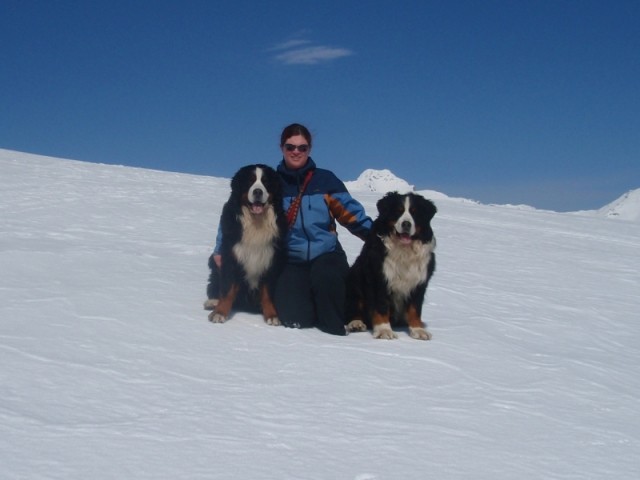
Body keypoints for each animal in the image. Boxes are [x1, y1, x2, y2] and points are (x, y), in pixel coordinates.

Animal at [209, 165, 286, 326]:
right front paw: (220, 313)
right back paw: (212, 302)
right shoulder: (231, 257)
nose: (258, 192)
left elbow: (267, 292)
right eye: (250, 181)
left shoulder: (271, 259)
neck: (256, 222)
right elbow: (227, 288)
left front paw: (272, 315)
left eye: (266, 182)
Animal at [344, 193, 436, 340]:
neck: (404, 251)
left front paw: (418, 329)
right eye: (398, 211)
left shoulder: (419, 281)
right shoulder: (378, 278)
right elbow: (381, 305)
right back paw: (356, 323)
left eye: (415, 213)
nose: (406, 224)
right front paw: (384, 330)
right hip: (354, 282)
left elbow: (415, 308)